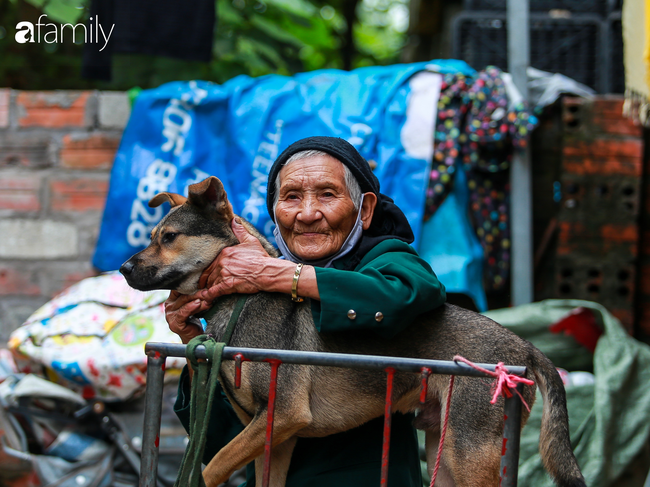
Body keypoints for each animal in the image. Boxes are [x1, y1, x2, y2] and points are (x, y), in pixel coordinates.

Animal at [119, 176, 584, 487]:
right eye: (154, 235)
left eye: (169, 237)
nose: (122, 269)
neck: (240, 301)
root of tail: (523, 347)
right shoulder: (271, 437)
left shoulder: (283, 414)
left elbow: (211, 466)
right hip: (446, 453)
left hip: (471, 454)